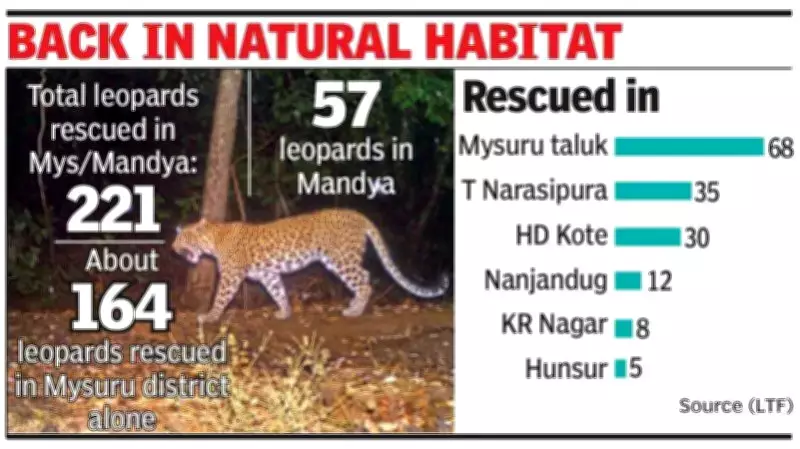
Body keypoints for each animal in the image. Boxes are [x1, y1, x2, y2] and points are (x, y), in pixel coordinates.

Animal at [172, 208, 449, 324]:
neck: (214, 239)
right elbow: (278, 292)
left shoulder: (231, 275)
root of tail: (358, 215)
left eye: (183, 238)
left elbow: (221, 296)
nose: (173, 248)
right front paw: (284, 313)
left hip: (340, 258)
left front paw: (209, 316)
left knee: (365, 278)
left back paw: (354, 310)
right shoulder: (268, 273)